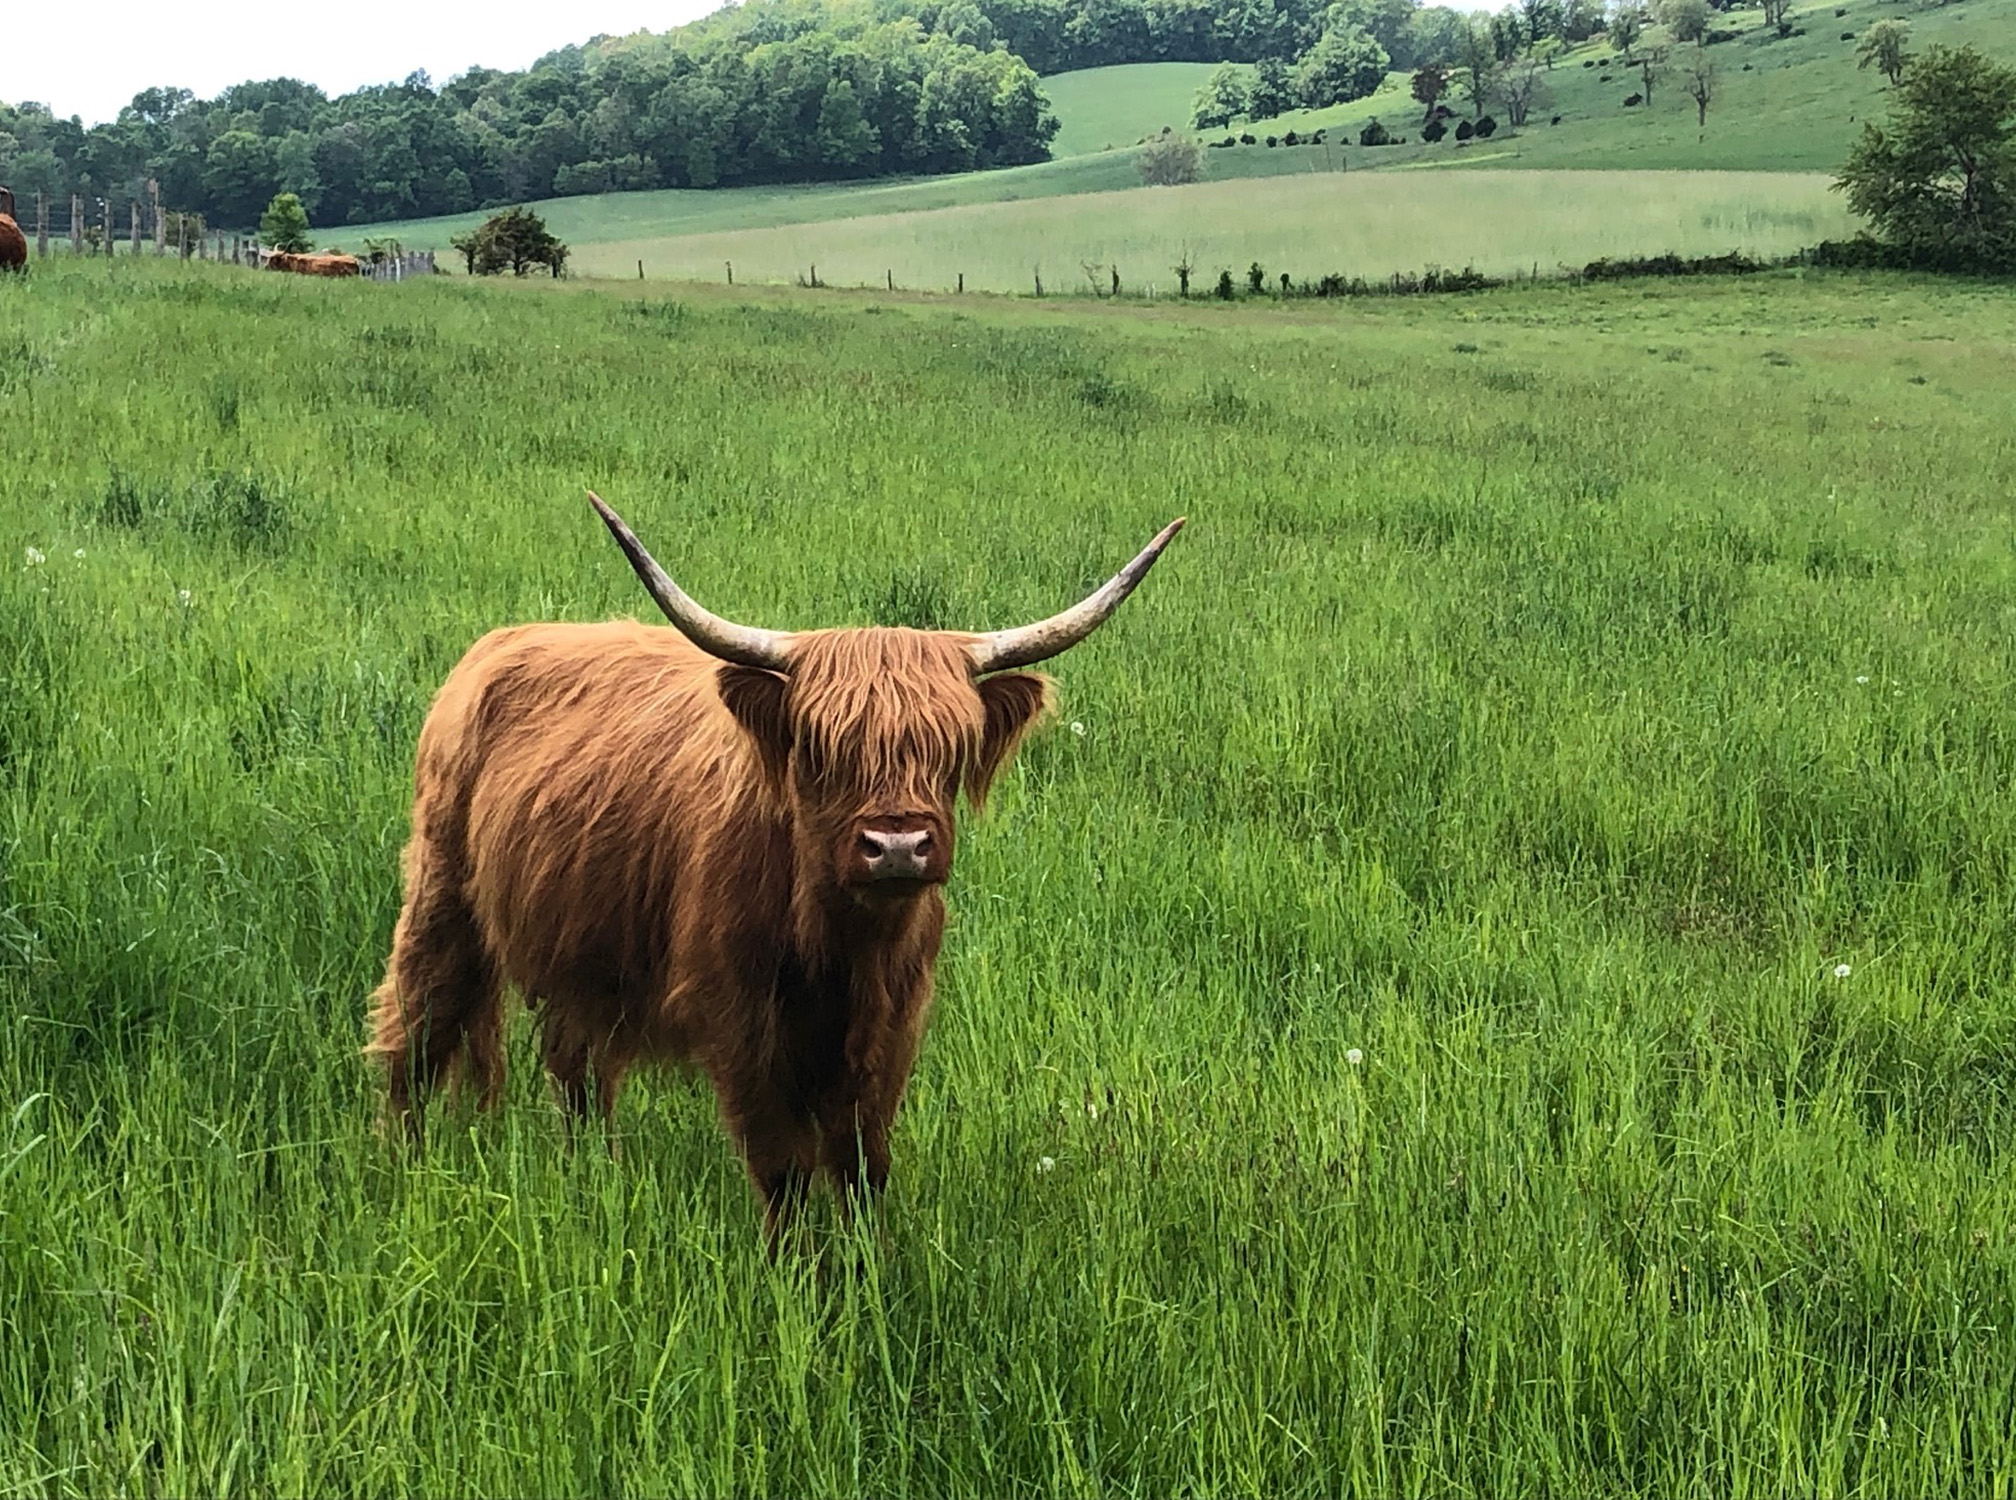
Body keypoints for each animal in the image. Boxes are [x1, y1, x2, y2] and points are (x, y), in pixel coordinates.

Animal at [366, 494, 1182, 1237]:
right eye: (821, 750)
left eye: (948, 747)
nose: (896, 847)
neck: (843, 946)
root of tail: (499, 644)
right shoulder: (744, 1023)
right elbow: (784, 1168)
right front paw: (793, 1277)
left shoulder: (892, 1027)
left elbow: (863, 1166)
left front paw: (863, 1276)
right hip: (442, 897)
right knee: (415, 1032)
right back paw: (401, 1173)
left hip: (585, 955)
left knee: (578, 1073)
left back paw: (592, 1177)